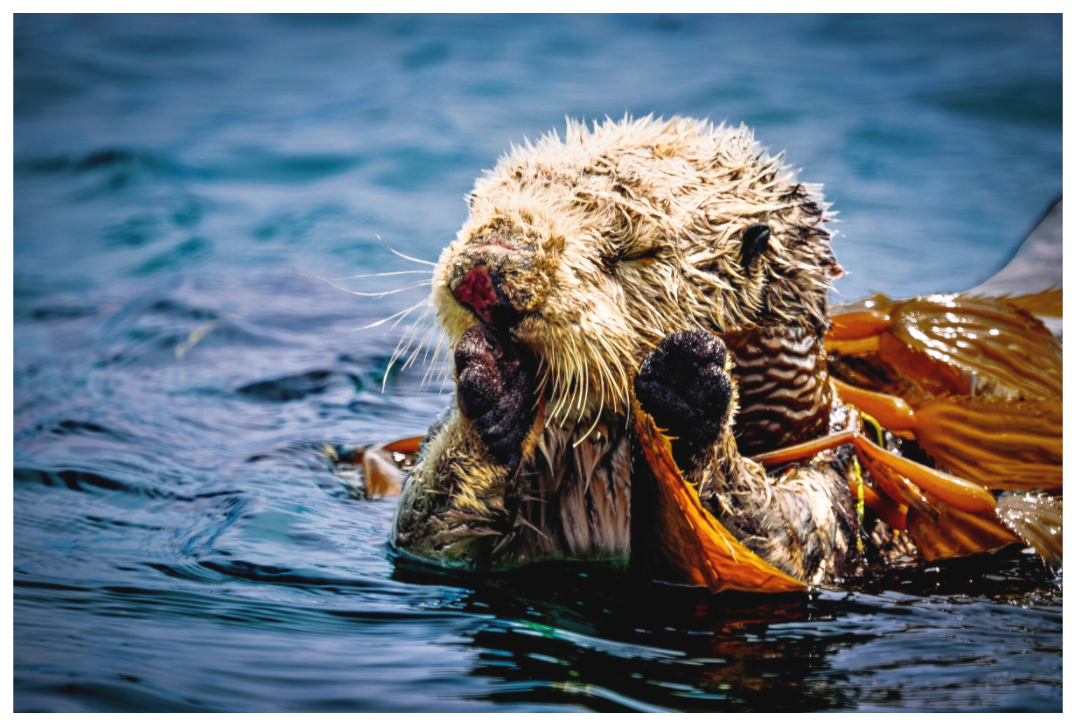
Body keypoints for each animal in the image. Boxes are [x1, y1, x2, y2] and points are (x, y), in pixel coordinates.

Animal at [390, 115, 861, 587]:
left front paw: (690, 382)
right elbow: (426, 533)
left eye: (635, 252)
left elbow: (786, 543)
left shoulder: (824, 469)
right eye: (478, 208)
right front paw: (494, 378)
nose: (488, 268)